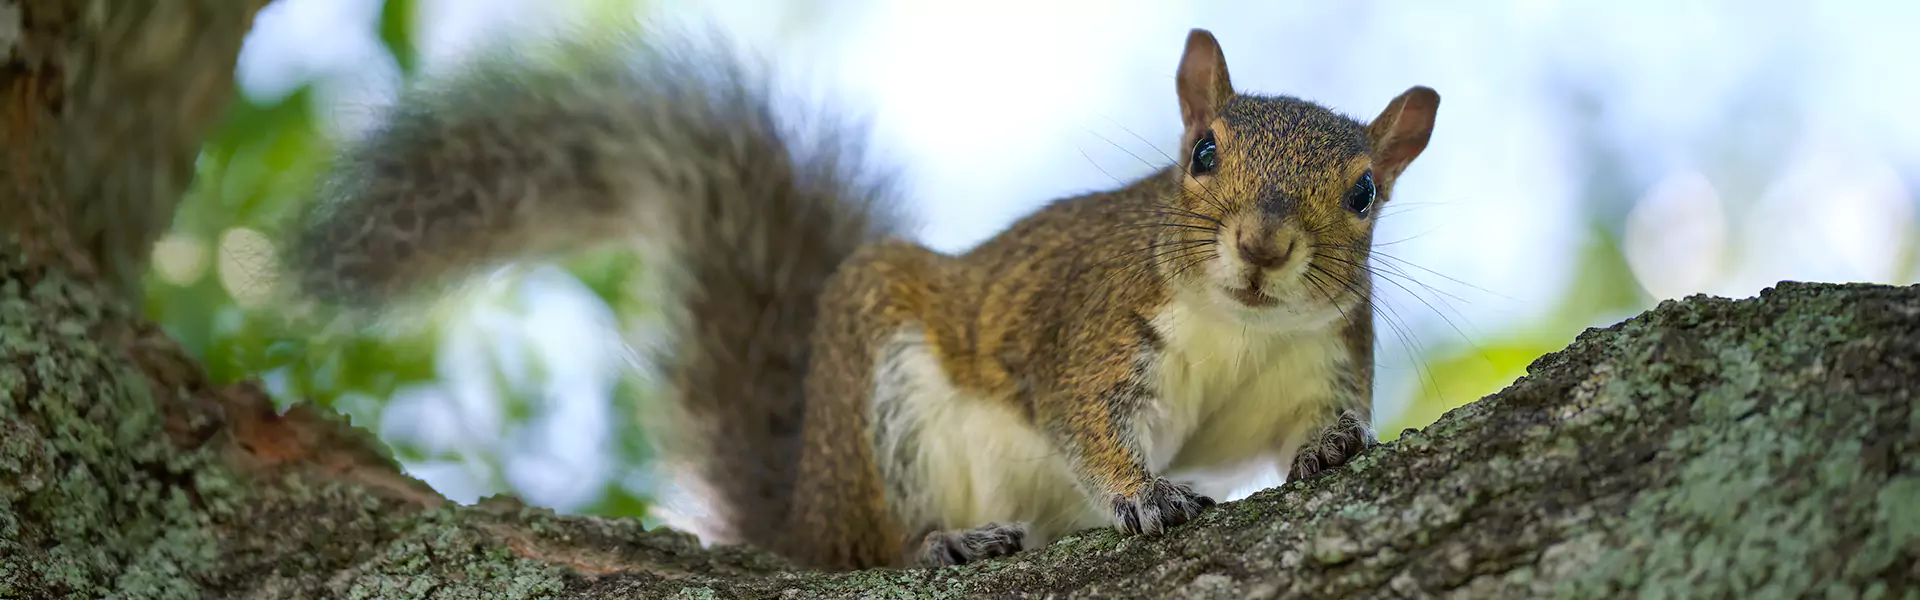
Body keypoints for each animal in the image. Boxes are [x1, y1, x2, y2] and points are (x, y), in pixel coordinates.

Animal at [286, 27, 1438, 571]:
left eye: (1365, 192)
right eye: (1201, 153)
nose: (1263, 246)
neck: (1238, 326)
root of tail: (802, 516)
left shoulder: (1315, 355)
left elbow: (1295, 426)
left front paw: (1335, 445)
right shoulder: (1091, 330)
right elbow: (1083, 422)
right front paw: (1144, 495)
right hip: (884, 414)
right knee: (868, 548)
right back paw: (940, 545)